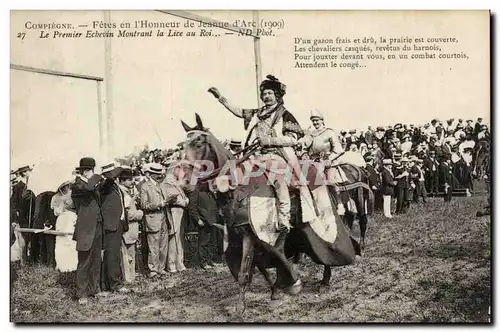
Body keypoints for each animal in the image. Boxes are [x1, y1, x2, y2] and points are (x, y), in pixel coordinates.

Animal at [180, 115, 360, 320]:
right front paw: (275, 291)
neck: (239, 187)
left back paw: (325, 280)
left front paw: (241, 309)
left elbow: (245, 272)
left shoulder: (251, 234)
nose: (184, 181)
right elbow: (259, 264)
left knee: (328, 248)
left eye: (198, 142)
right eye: (182, 145)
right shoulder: (242, 233)